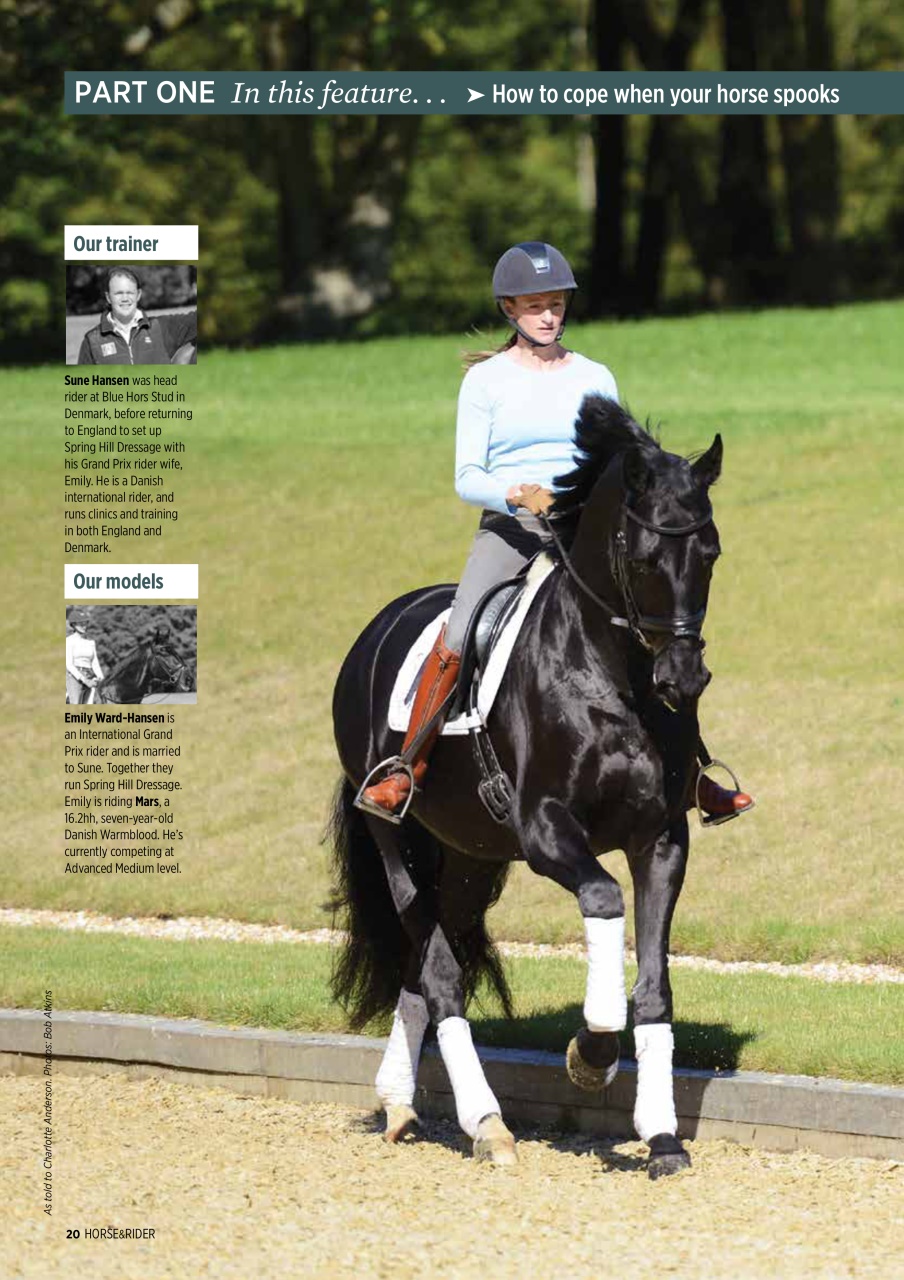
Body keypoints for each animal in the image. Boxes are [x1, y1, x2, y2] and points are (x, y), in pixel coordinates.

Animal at [329, 395, 724, 1178]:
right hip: (396, 838)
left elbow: (654, 991)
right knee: (440, 975)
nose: (683, 678)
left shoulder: (662, 839)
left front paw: (663, 1136)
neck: (612, 678)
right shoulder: (545, 830)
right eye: (643, 557)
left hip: (468, 857)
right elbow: (602, 901)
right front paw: (592, 1054)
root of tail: (377, 629)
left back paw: (399, 1103)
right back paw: (487, 1124)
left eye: (711, 554)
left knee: (424, 963)